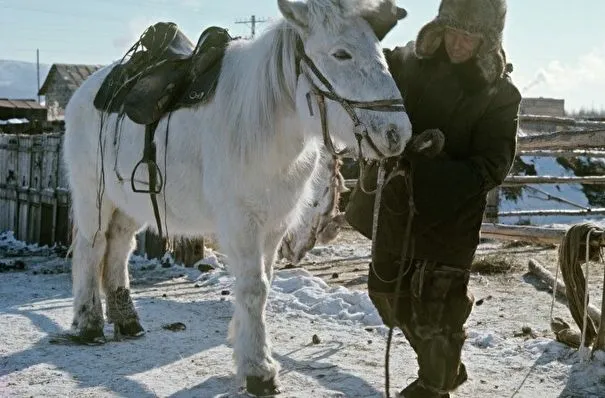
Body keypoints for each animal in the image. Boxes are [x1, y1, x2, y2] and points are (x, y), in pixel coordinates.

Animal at [62, 0, 410, 394]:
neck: (263, 125)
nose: (397, 133)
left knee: (118, 247)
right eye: (341, 53)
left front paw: (249, 357)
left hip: (128, 202)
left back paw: (127, 321)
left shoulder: (274, 226)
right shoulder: (241, 223)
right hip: (93, 195)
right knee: (92, 246)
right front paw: (259, 370)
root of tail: (89, 89)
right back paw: (89, 324)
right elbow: (253, 288)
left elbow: (262, 286)